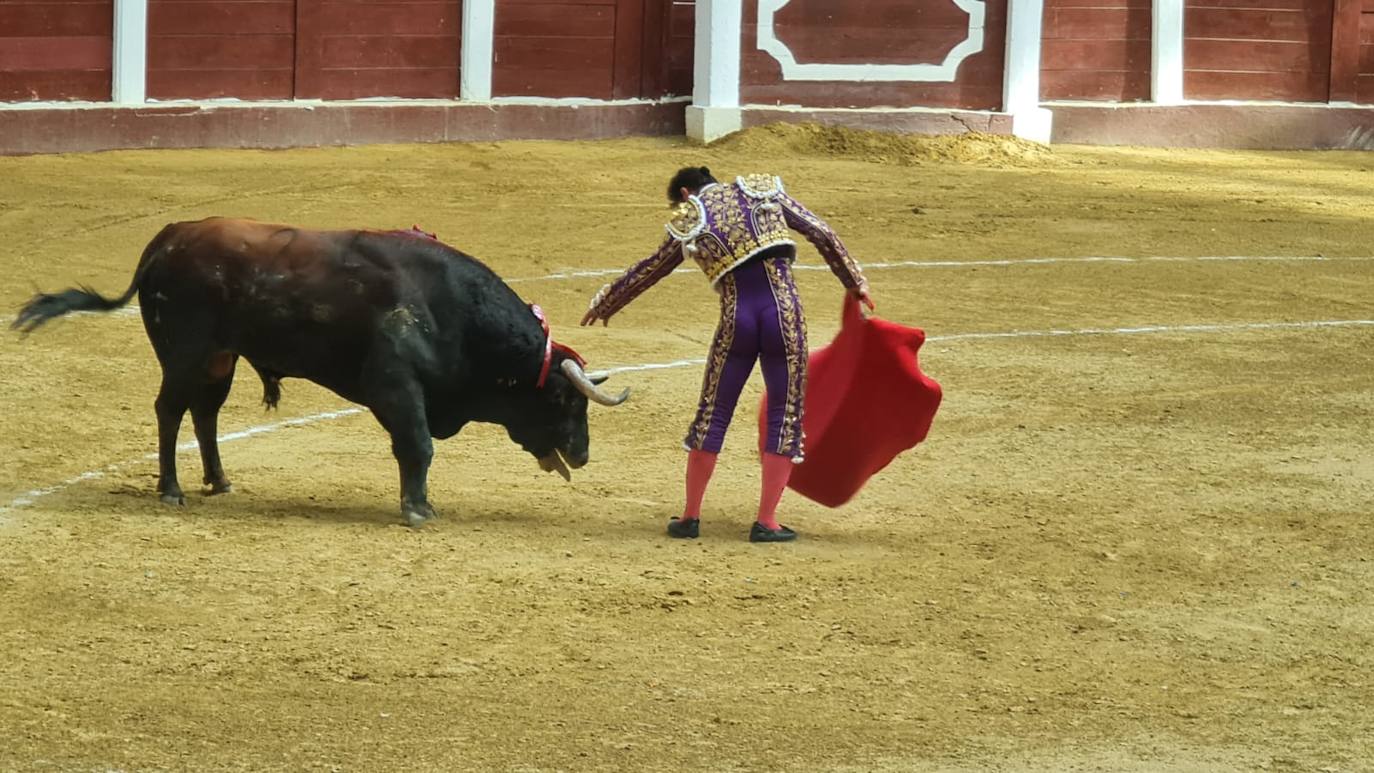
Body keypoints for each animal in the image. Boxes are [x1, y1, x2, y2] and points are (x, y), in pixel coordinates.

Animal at [14, 221, 629, 529]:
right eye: (566, 402)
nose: (583, 455)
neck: (452, 311)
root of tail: (166, 241)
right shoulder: (395, 387)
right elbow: (418, 446)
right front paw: (417, 510)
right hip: (184, 354)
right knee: (170, 410)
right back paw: (171, 490)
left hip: (219, 358)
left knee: (205, 412)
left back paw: (219, 480)